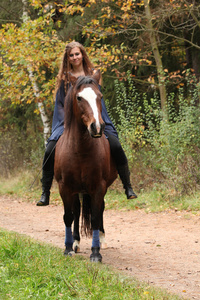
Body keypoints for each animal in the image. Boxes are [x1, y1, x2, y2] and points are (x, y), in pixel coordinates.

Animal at [54, 71, 117, 262]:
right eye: (79, 97)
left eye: (100, 96)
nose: (97, 127)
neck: (80, 150)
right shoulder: (65, 187)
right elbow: (68, 216)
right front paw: (68, 248)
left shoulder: (98, 186)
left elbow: (96, 216)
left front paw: (96, 252)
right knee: (76, 210)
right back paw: (75, 242)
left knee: (100, 209)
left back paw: (101, 239)